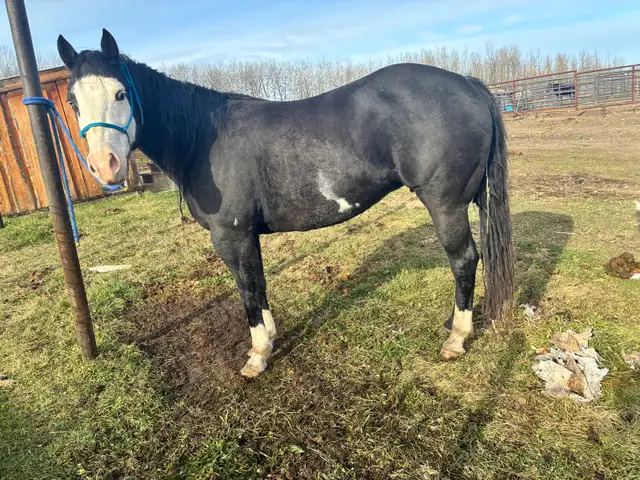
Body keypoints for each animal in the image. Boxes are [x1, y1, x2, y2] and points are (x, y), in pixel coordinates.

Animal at [56, 29, 515, 378]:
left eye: (121, 93)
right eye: (73, 101)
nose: (105, 165)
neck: (204, 138)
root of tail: (469, 84)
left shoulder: (232, 236)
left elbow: (248, 289)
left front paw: (258, 356)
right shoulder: (247, 236)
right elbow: (259, 285)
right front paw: (270, 339)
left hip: (445, 205)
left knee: (464, 259)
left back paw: (456, 338)